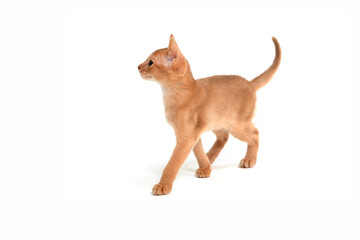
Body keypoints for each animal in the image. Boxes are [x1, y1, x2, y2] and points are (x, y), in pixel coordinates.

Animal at [138, 34, 282, 195]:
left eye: (150, 62)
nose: (138, 66)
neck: (175, 93)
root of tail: (249, 83)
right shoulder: (193, 135)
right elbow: (198, 151)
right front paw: (205, 168)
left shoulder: (186, 137)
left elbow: (172, 164)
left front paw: (163, 185)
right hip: (216, 122)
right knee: (224, 137)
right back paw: (210, 157)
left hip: (237, 125)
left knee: (255, 134)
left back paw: (249, 159)